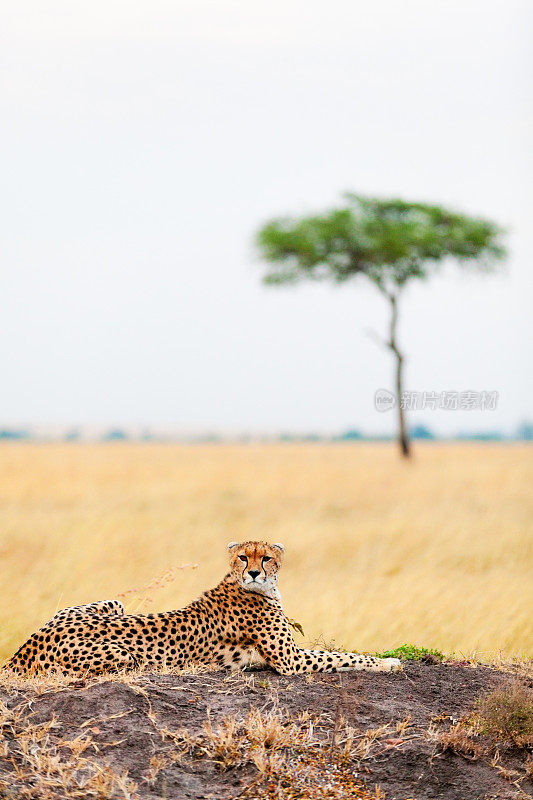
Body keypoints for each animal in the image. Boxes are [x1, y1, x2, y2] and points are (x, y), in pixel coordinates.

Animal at [6, 540, 402, 680]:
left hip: (111, 605)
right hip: (122, 655)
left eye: (266, 557)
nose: (254, 572)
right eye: (243, 557)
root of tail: (32, 641)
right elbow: (343, 656)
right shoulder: (292, 661)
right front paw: (388, 662)